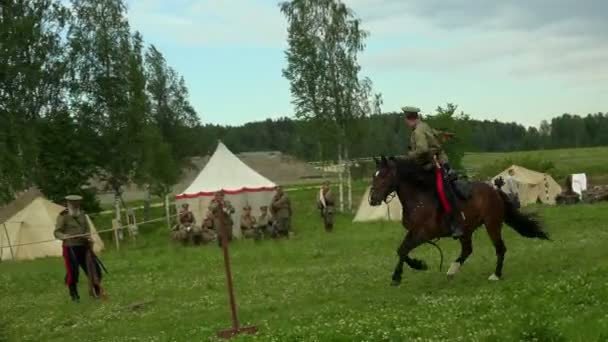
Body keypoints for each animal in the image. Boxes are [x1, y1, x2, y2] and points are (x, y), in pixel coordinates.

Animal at [368, 156, 548, 284]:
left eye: (384, 175)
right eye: (374, 175)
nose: (372, 199)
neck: (419, 197)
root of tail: (495, 190)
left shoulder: (424, 234)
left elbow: (404, 250)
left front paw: (412, 269)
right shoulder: (414, 232)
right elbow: (401, 250)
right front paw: (404, 272)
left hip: (492, 224)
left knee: (500, 248)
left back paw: (495, 275)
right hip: (466, 230)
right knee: (467, 250)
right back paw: (452, 271)